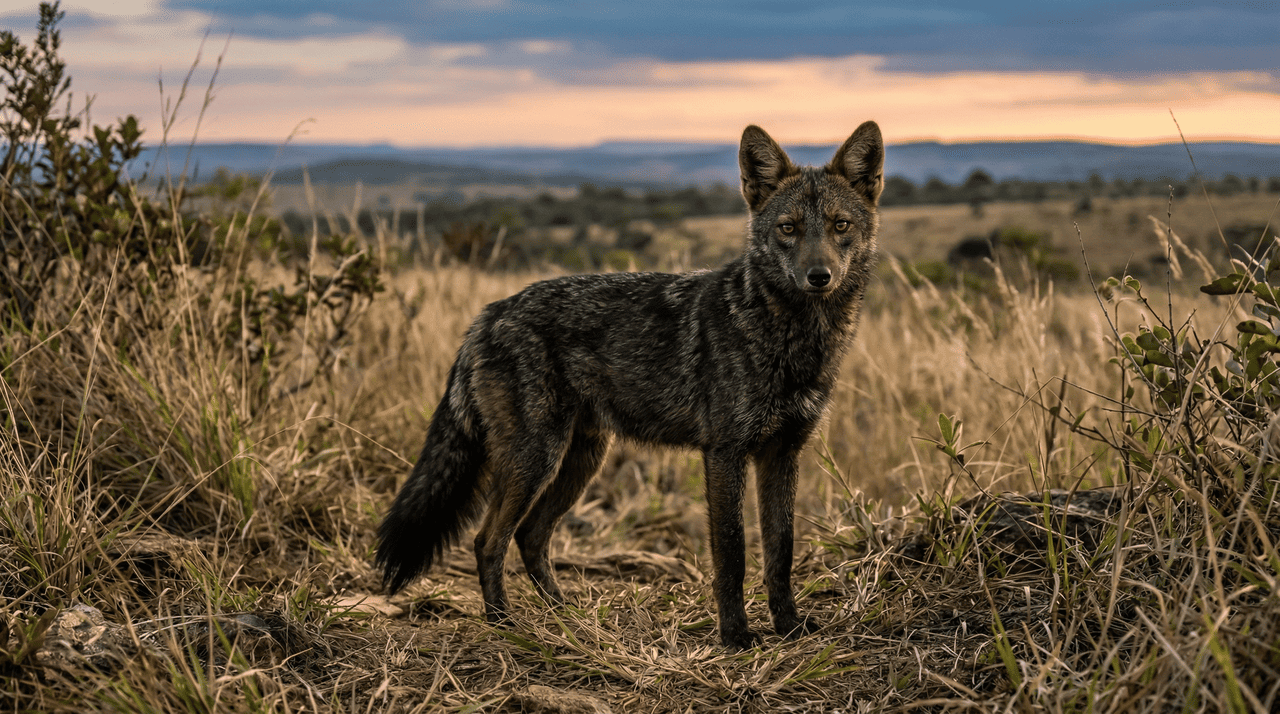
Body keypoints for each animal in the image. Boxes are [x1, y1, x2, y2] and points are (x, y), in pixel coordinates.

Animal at [377, 120, 884, 649]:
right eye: (788, 229)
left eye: (840, 226)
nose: (818, 276)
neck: (792, 338)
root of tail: (490, 313)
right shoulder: (725, 454)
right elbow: (732, 554)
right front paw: (735, 636)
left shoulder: (782, 454)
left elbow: (780, 552)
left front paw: (789, 628)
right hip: (537, 460)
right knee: (488, 539)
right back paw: (505, 625)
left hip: (580, 462)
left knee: (529, 536)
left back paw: (565, 617)